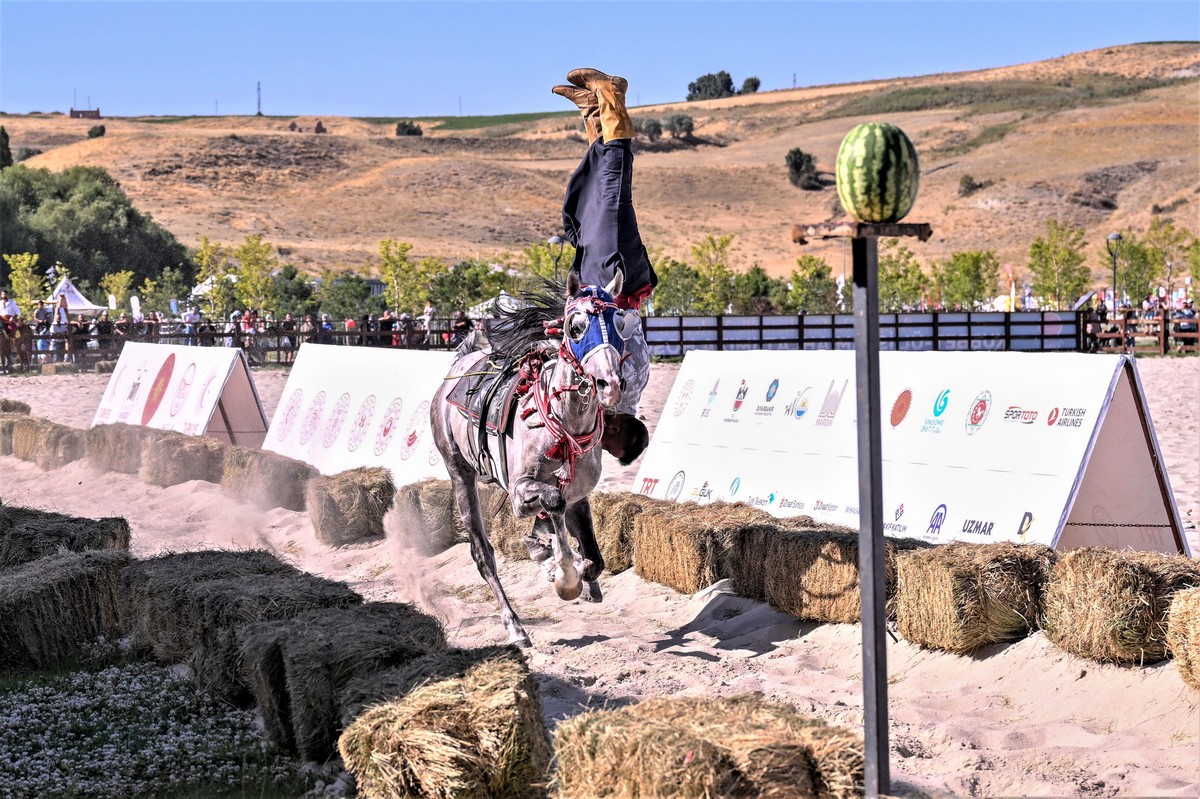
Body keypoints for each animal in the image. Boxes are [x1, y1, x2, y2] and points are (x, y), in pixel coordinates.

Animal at [434, 271, 638, 643]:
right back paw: (514, 625)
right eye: (575, 326)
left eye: (619, 324)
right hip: (459, 473)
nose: (610, 384)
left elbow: (593, 557)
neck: (564, 424)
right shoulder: (519, 494)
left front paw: (574, 571)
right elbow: (553, 504)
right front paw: (563, 574)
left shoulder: (579, 495)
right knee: (483, 554)